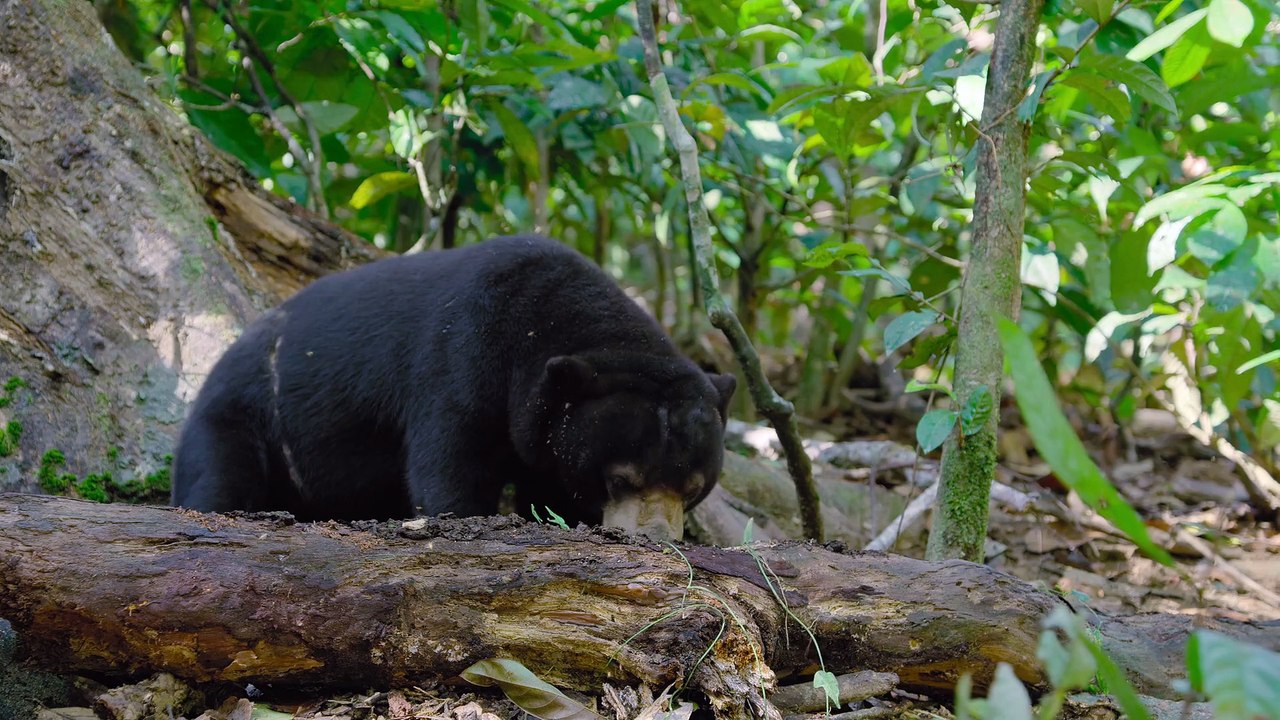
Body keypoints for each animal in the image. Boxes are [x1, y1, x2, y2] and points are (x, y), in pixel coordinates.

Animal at [170, 234, 736, 540]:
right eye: (620, 478)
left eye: (694, 489)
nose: (657, 539)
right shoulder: (463, 354)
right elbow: (451, 464)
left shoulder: (546, 431)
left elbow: (550, 486)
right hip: (243, 418)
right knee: (219, 478)